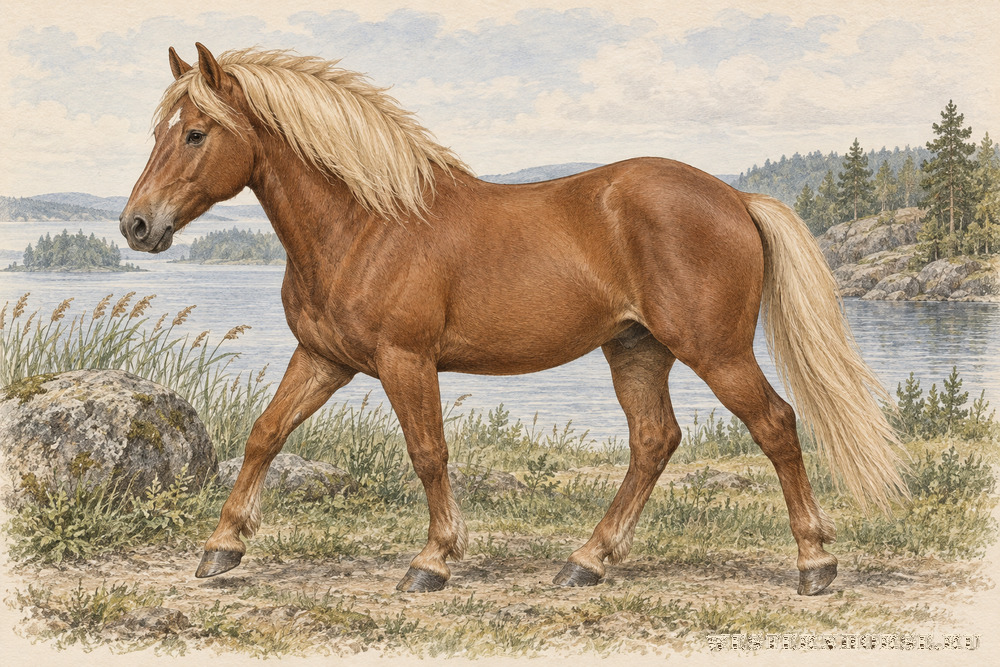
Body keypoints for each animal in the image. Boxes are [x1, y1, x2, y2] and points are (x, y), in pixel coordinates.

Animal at [121, 43, 906, 596]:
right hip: (637, 349)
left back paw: (815, 563)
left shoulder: (405, 360)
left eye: (196, 133)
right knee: (654, 441)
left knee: (774, 424)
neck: (366, 223)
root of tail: (735, 197)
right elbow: (264, 434)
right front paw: (221, 548)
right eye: (159, 129)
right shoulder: (325, 359)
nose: (136, 226)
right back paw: (587, 560)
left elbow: (428, 453)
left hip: (715, 351)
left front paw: (433, 562)